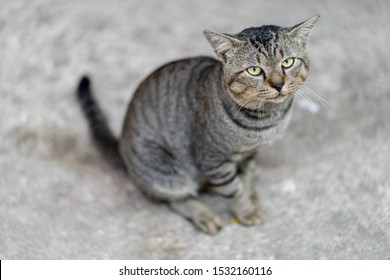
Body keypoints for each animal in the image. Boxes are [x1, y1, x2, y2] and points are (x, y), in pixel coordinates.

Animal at [76, 14, 320, 234]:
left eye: (287, 62)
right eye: (254, 70)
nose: (278, 84)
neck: (269, 118)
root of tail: (121, 146)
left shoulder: (249, 154)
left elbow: (246, 177)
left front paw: (250, 194)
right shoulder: (212, 158)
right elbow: (234, 189)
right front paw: (245, 210)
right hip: (166, 170)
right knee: (175, 199)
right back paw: (204, 215)